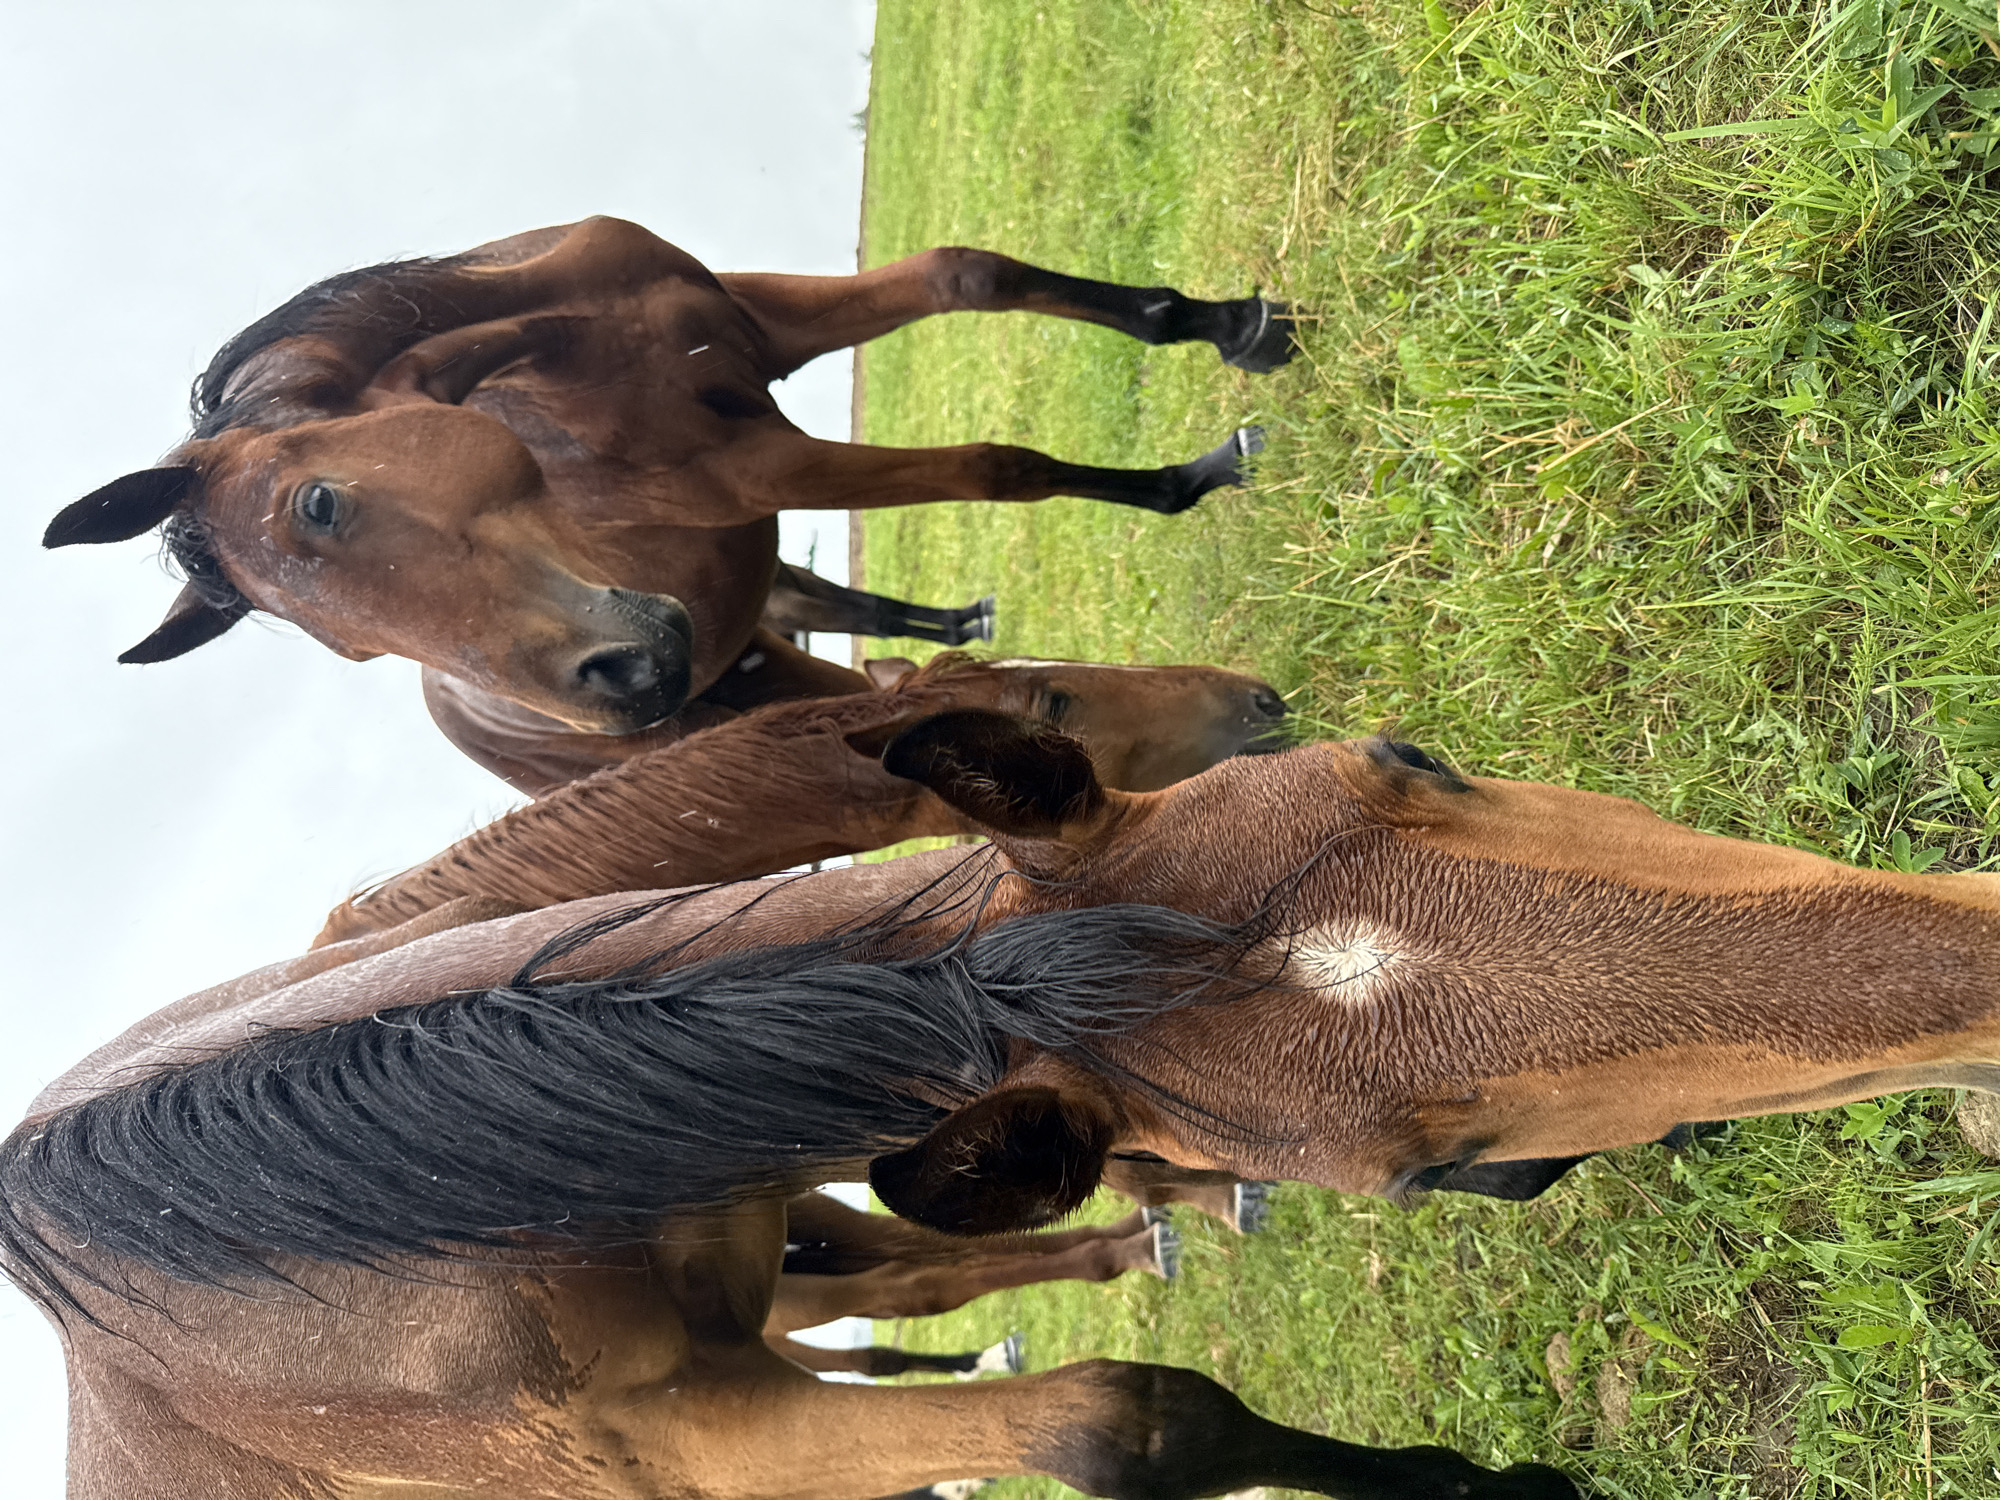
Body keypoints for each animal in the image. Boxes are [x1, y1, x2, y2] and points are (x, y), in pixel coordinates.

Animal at [40, 215, 1295, 769]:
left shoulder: (760, 323)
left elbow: (964, 276)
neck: (568, 357)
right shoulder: (764, 467)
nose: (627, 685)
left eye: (319, 504)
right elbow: (1000, 469)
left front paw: (1237, 327)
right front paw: (1196, 474)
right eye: (349, 647)